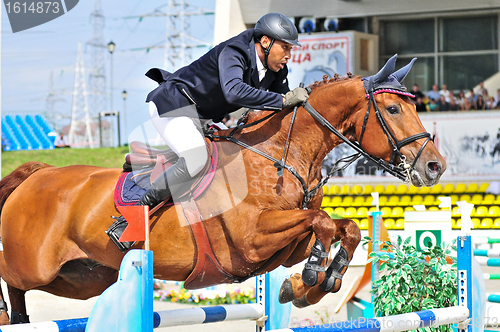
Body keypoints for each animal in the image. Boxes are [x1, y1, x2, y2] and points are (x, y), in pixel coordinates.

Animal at [0, 56, 446, 324]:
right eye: (393, 109)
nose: (435, 166)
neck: (278, 155)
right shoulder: (251, 240)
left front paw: (308, 285)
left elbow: (342, 227)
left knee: (28, 293)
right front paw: (315, 274)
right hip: (33, 263)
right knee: (10, 276)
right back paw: (6, 315)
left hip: (82, 277)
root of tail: (39, 172)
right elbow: (321, 222)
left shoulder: (286, 244)